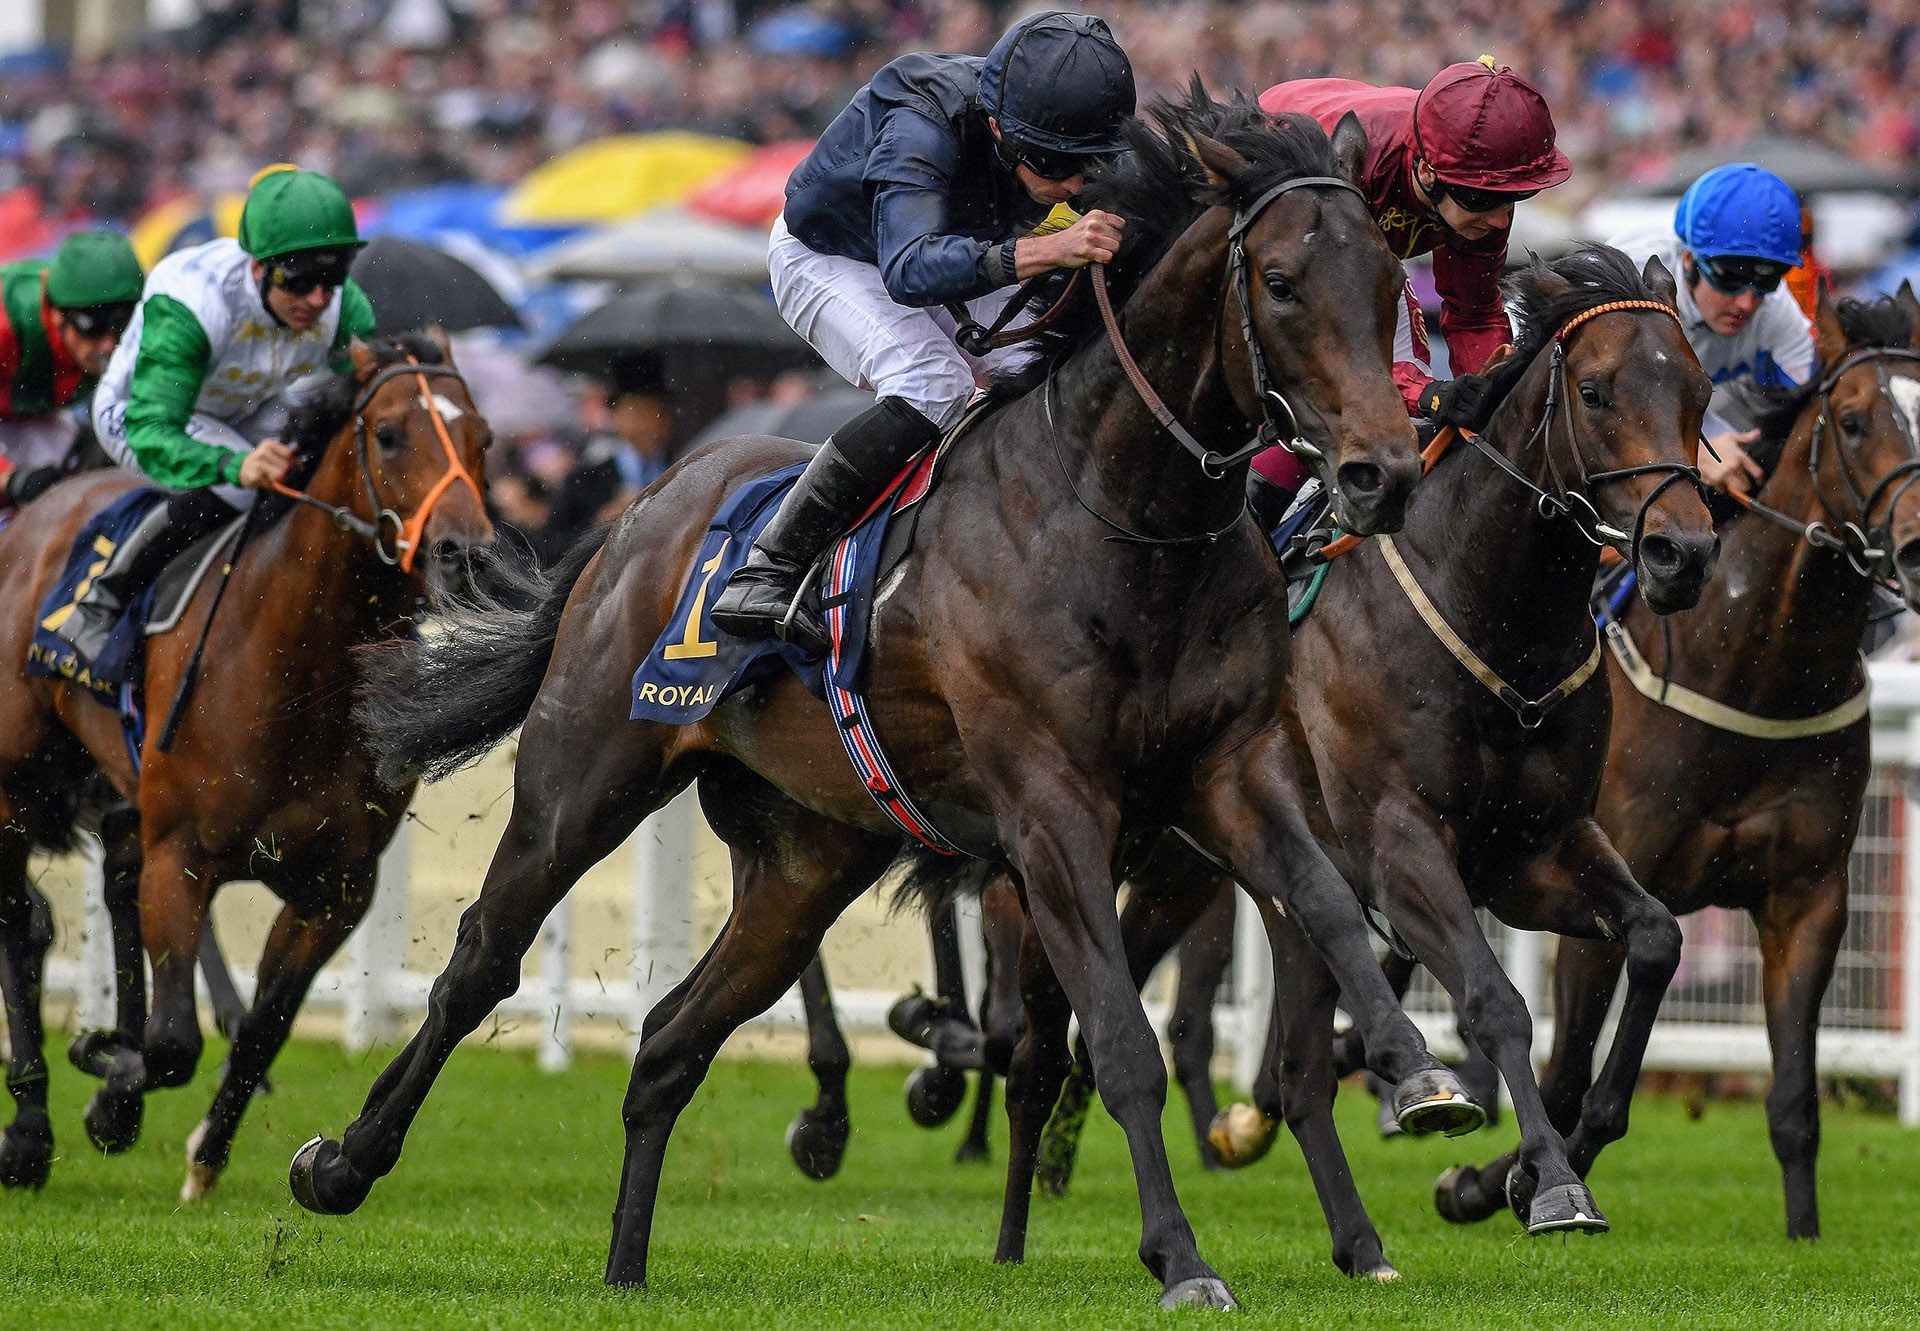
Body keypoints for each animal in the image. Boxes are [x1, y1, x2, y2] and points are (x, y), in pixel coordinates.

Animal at [0, 332, 495, 1190]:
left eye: (485, 439)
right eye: (390, 433)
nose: (464, 554)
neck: (297, 674)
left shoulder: (339, 884)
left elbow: (264, 1025)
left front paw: (197, 1148)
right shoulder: (183, 856)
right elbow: (173, 1041)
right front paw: (107, 1069)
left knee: (108, 875)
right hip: (17, 776)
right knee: (20, 920)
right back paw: (29, 1131)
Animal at [284, 93, 1466, 1306]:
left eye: (1391, 283)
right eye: (1280, 281)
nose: (1382, 472)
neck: (1122, 515)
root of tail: (646, 501)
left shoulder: (1229, 772)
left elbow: (1327, 905)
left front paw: (1419, 1075)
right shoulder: (1052, 812)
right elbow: (1116, 1036)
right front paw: (1181, 1257)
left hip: (808, 857)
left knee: (669, 1039)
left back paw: (626, 1261)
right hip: (586, 774)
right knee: (482, 958)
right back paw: (341, 1161)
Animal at [1436, 288, 1920, 1236]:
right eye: (1852, 421)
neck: (1756, 669)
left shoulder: (1808, 898)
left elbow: (1794, 1099)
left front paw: (1803, 1236)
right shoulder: (1601, 879)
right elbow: (1566, 1076)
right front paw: (1494, 1181)